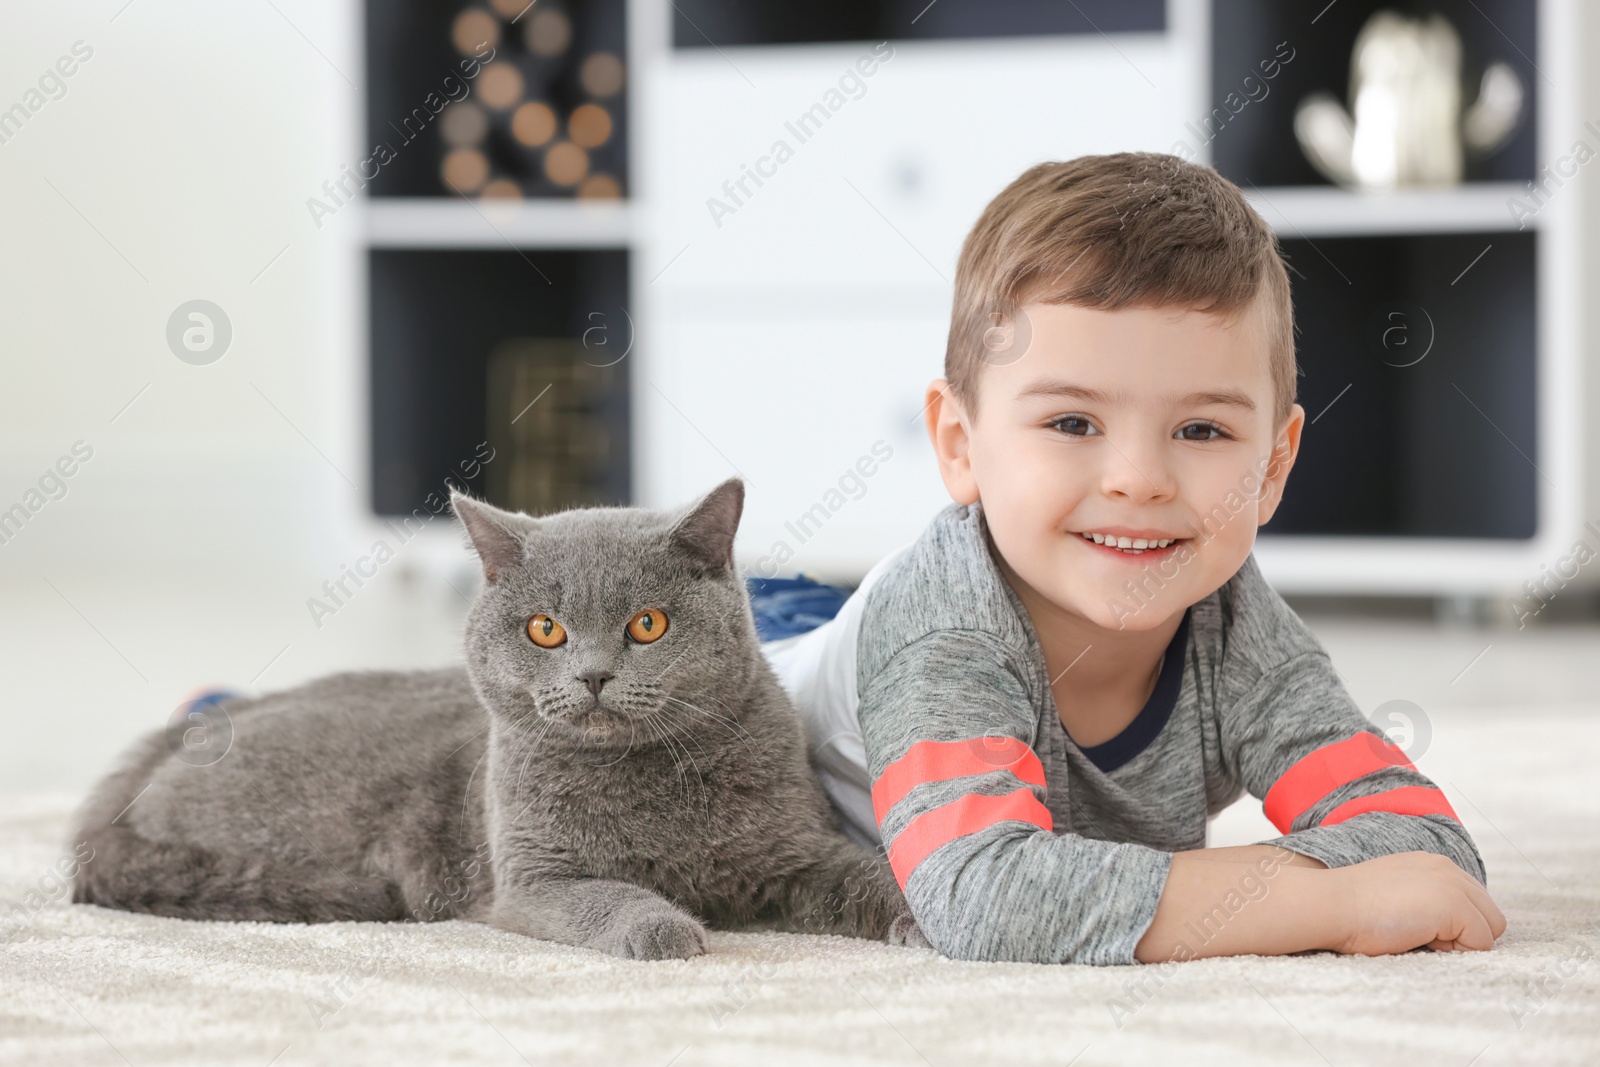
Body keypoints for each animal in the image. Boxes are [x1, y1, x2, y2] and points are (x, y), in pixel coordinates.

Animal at [72, 479, 928, 966]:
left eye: (648, 624)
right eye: (545, 629)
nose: (593, 674)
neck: (642, 783)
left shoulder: (794, 851)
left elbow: (867, 872)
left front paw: (926, 921)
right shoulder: (532, 878)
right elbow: (607, 895)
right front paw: (664, 926)